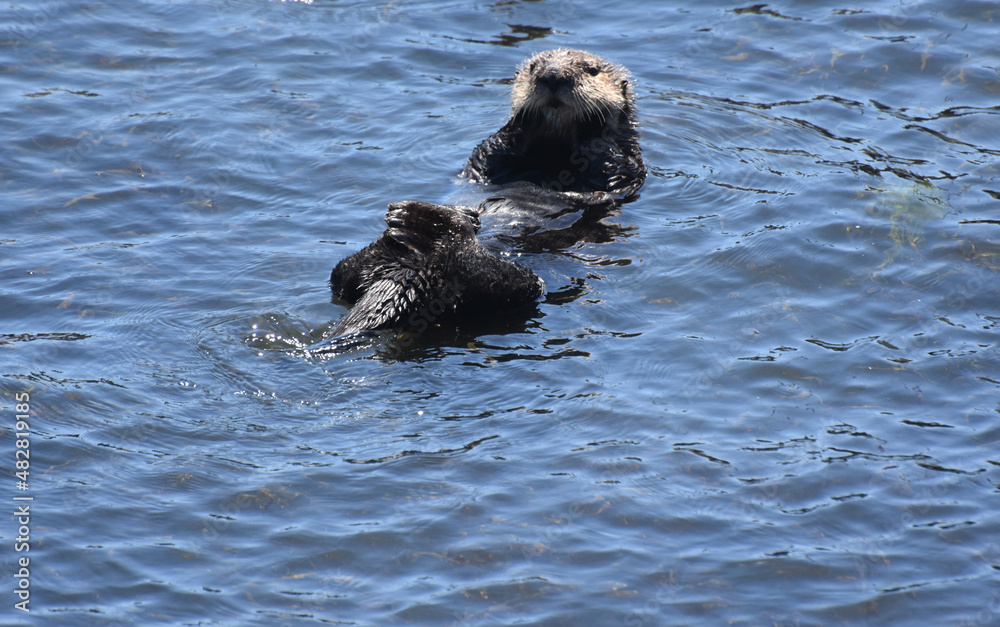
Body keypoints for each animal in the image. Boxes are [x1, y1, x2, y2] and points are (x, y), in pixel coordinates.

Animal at [329, 49, 643, 337]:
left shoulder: (626, 170)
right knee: (342, 275)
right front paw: (523, 119)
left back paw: (431, 225)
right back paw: (408, 228)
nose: (552, 76)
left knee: (485, 273)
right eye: (534, 66)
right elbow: (490, 151)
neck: (553, 156)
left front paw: (595, 124)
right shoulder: (486, 164)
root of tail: (416, 269)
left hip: (514, 287)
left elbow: (612, 165)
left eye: (592, 70)